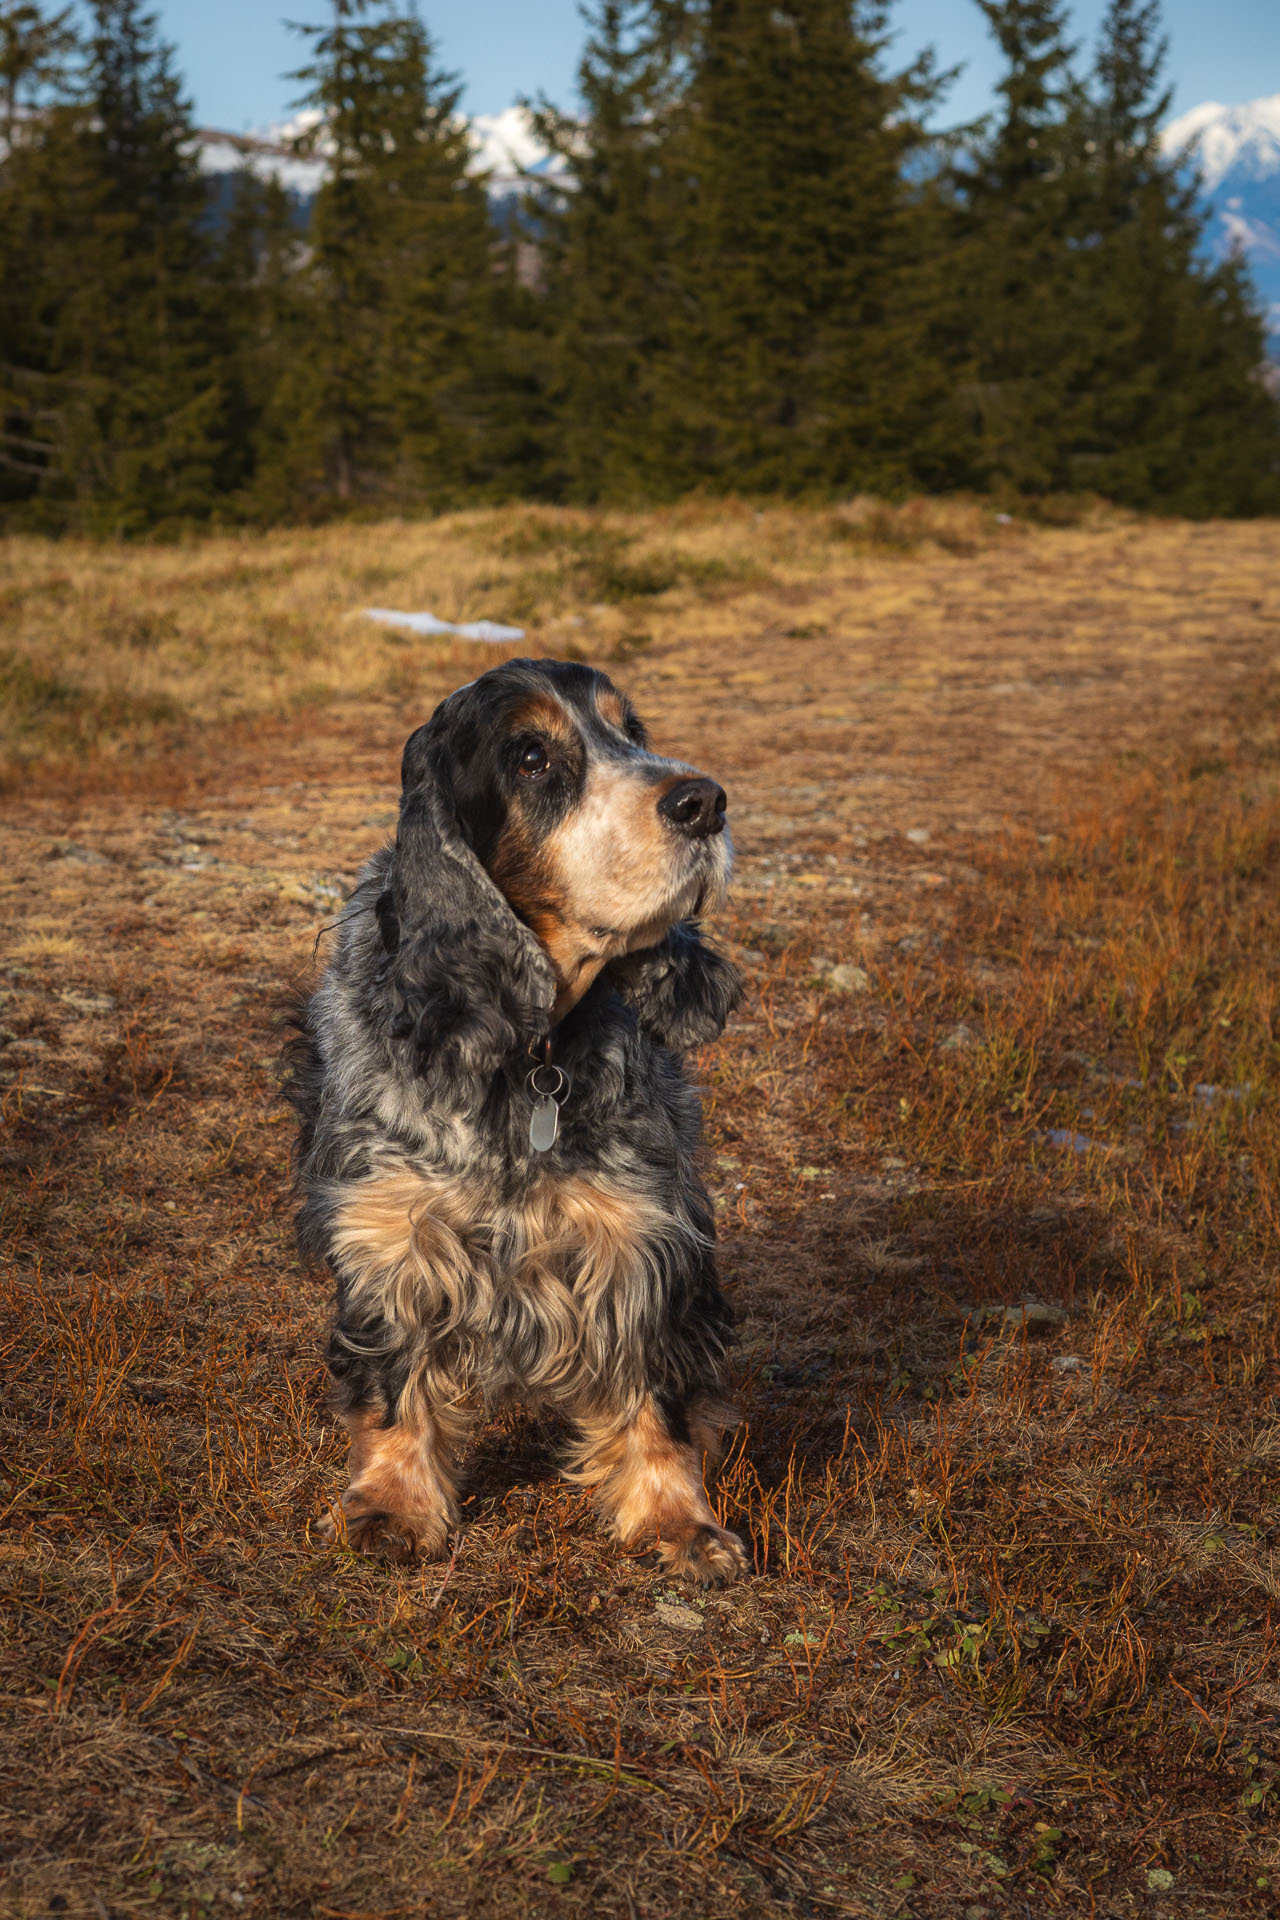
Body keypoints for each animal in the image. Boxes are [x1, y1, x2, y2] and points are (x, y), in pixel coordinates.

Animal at [287, 652, 752, 1582]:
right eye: (532, 758)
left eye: (632, 731)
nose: (705, 801)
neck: (525, 1049)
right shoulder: (392, 1229)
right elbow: (395, 1379)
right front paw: (393, 1506)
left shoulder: (644, 1231)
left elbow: (656, 1391)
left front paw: (678, 1520)